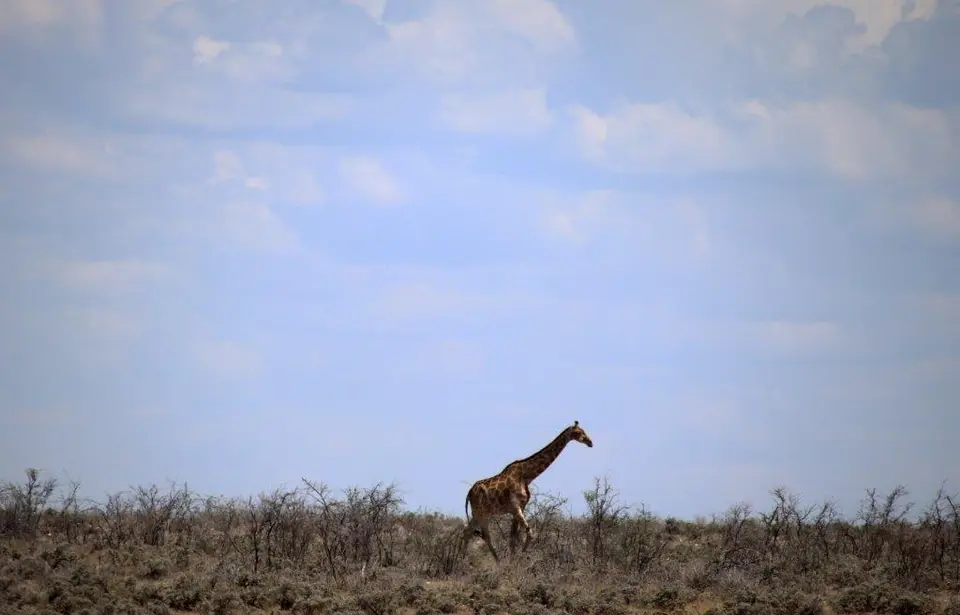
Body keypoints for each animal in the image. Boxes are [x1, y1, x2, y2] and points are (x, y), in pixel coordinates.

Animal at [462, 420, 594, 562]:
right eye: (579, 432)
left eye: (584, 431)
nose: (590, 442)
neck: (526, 476)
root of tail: (469, 493)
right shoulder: (515, 507)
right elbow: (529, 533)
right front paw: (521, 556)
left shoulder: (521, 507)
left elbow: (513, 537)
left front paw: (514, 561)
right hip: (481, 513)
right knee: (484, 536)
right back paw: (491, 562)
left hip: (479, 513)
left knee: (468, 531)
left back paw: (463, 560)